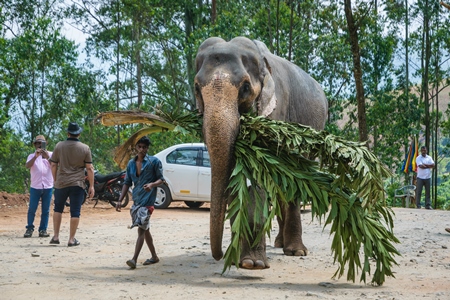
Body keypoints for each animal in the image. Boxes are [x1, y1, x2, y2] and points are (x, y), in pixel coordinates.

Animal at [193, 37, 326, 270]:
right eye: (197, 88)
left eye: (246, 87)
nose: (219, 255)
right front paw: (240, 259)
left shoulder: (275, 109)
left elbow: (256, 176)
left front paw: (252, 264)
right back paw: (280, 243)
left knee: (292, 186)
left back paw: (295, 251)